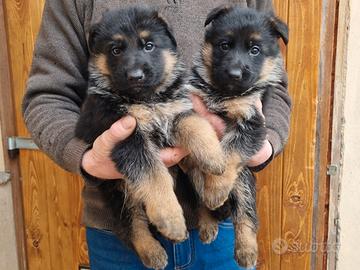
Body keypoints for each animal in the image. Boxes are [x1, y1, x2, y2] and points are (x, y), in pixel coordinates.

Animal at [75, 7, 225, 268]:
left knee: (198, 199)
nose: (135, 76)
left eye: (149, 46)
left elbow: (196, 124)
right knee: (133, 225)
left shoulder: (175, 112)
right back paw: (153, 252)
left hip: (185, 174)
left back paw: (207, 224)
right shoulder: (127, 138)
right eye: (115, 50)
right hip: (119, 191)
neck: (146, 99)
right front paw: (170, 218)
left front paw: (214, 156)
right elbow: (154, 176)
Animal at [183, 6, 290, 268]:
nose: (234, 74)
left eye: (255, 50)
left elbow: (229, 153)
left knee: (245, 214)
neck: (223, 93)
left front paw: (216, 189)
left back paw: (246, 250)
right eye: (224, 45)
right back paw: (208, 224)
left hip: (243, 182)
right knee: (199, 199)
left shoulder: (252, 124)